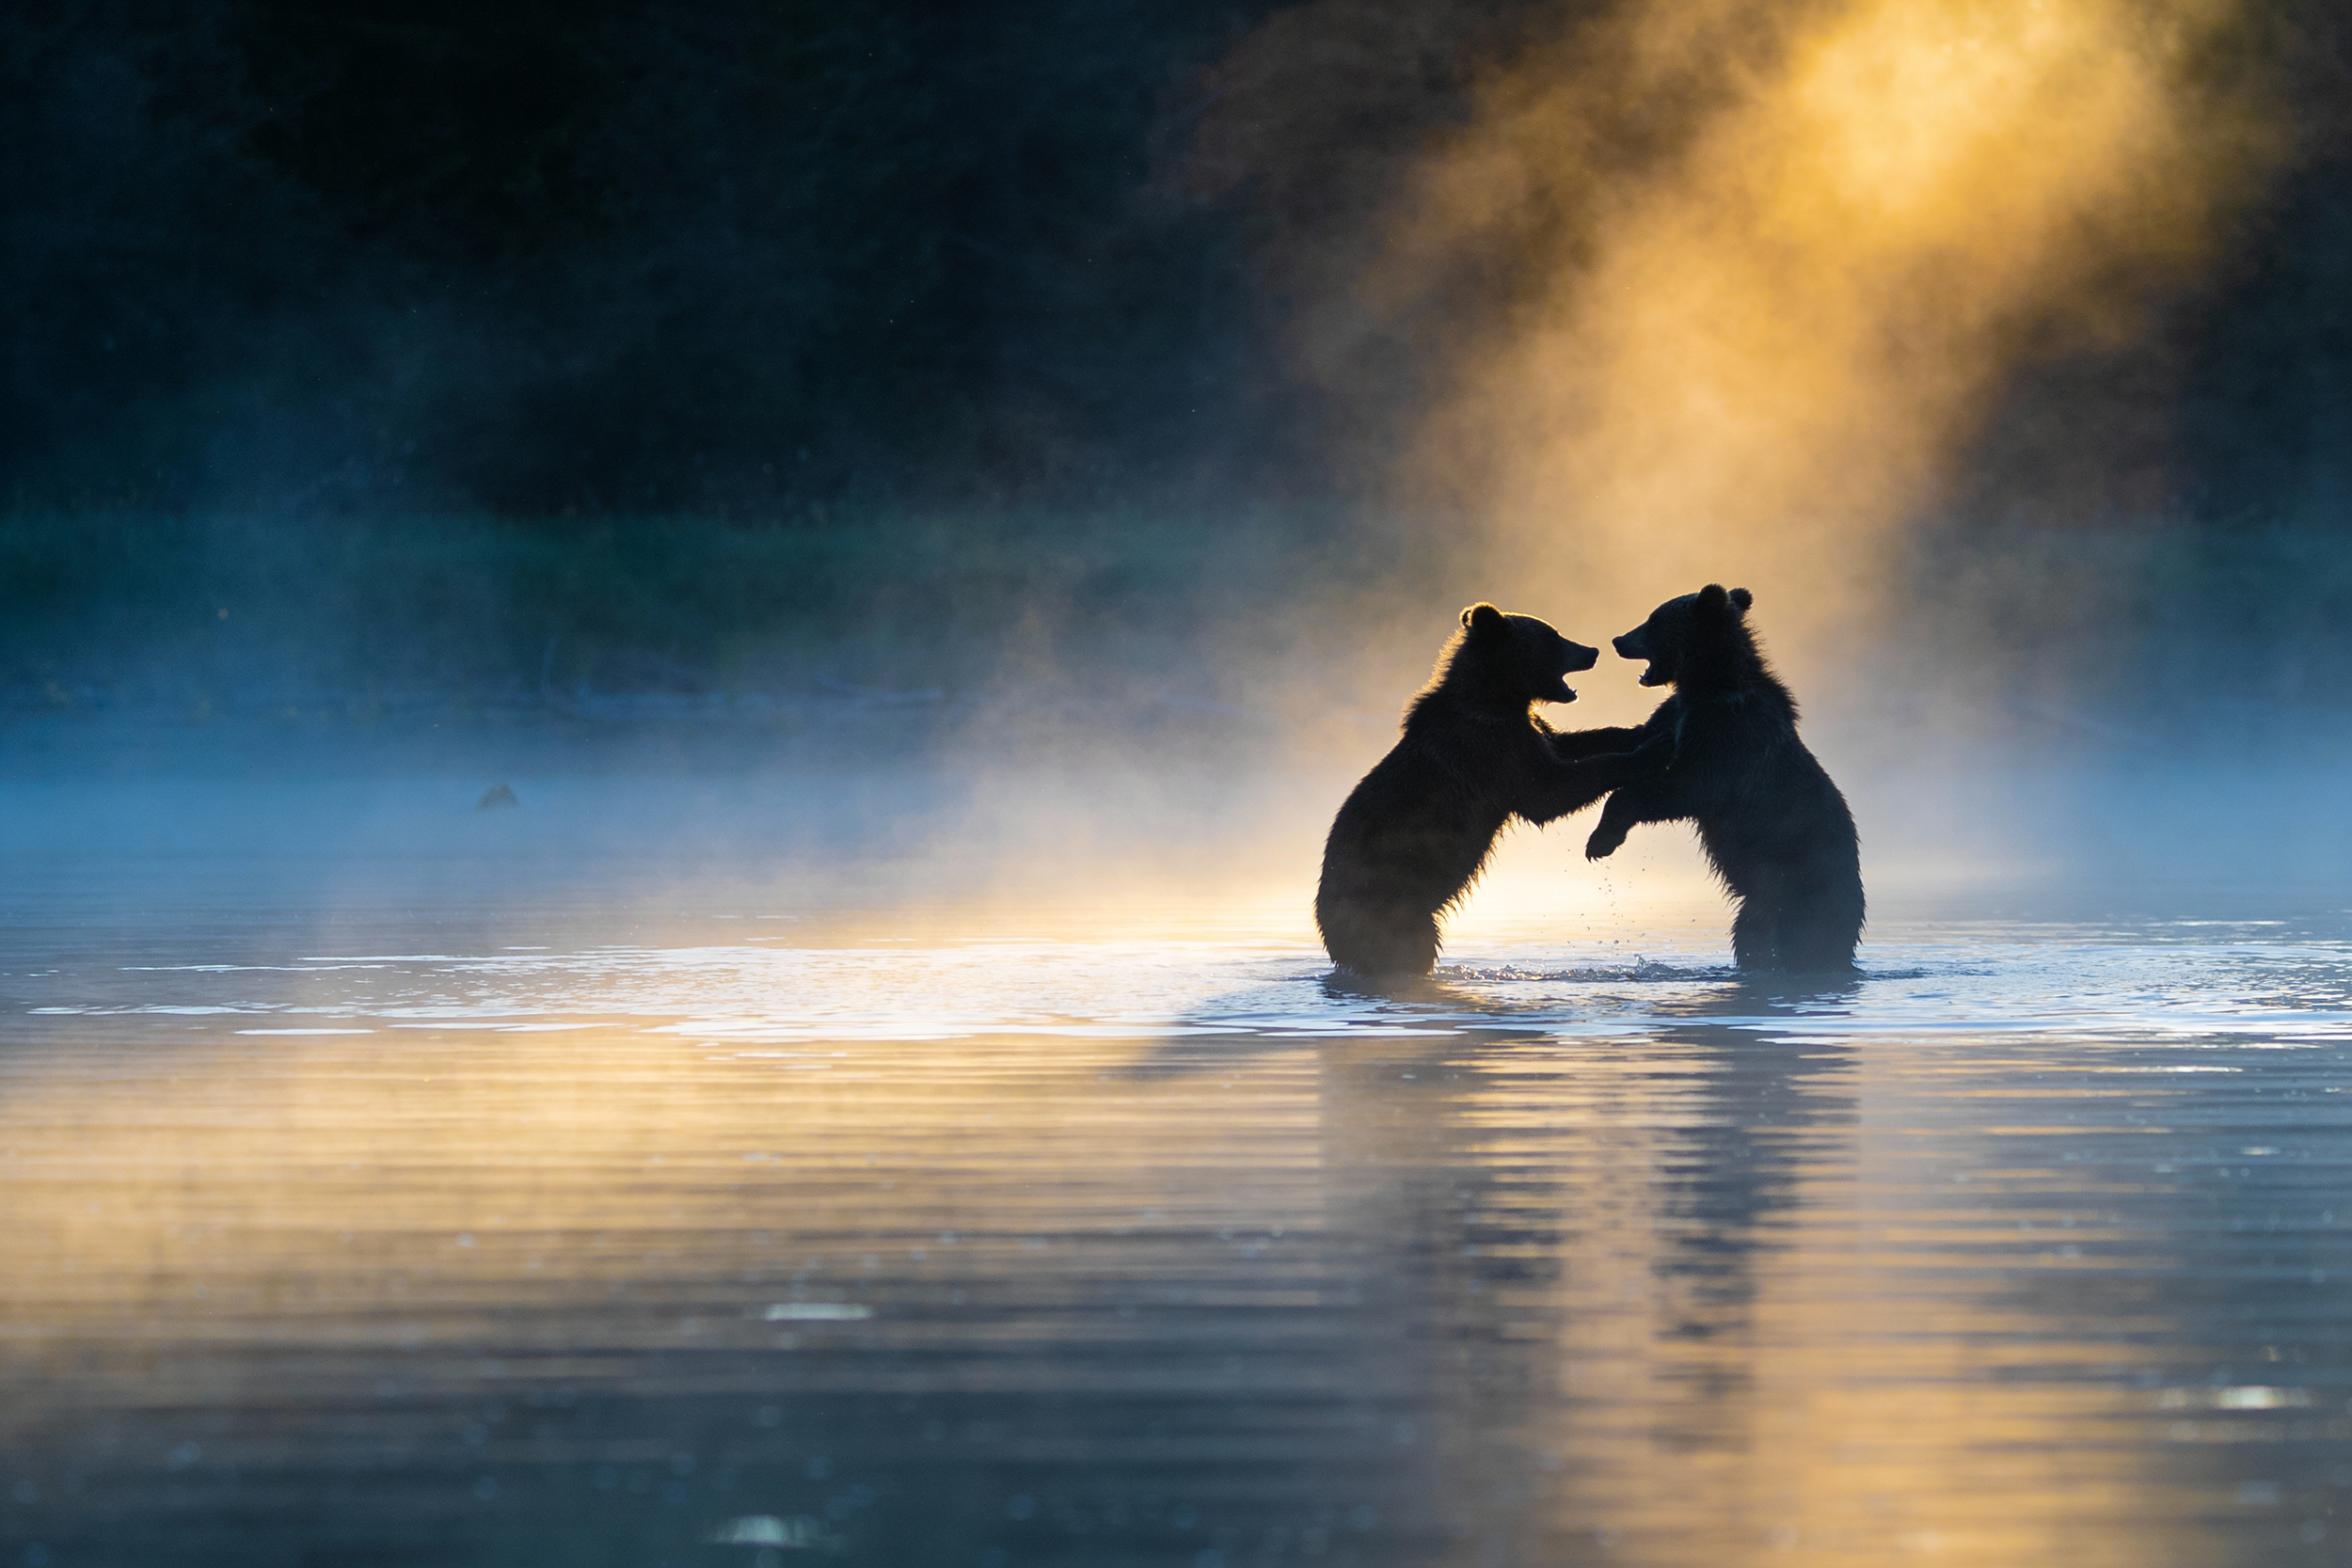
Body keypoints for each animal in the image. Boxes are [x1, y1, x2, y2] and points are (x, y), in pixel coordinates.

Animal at [1315, 603, 1670, 976]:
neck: (1497, 699)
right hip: (1391, 906)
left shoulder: (1525, 732)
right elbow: (1551, 790)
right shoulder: (1490, 750)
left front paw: (1646, 729)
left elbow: (1572, 744)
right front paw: (1652, 751)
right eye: (1553, 637)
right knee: (1408, 950)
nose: (1592, 651)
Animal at [1560, 584, 1864, 973]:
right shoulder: (1676, 714)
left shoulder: (1727, 737)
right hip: (1760, 905)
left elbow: (1687, 788)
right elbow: (1637, 738)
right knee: (1751, 937)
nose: (1618, 640)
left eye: (1654, 621)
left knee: (1807, 943)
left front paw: (1600, 841)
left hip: (1808, 891)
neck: (1708, 684)